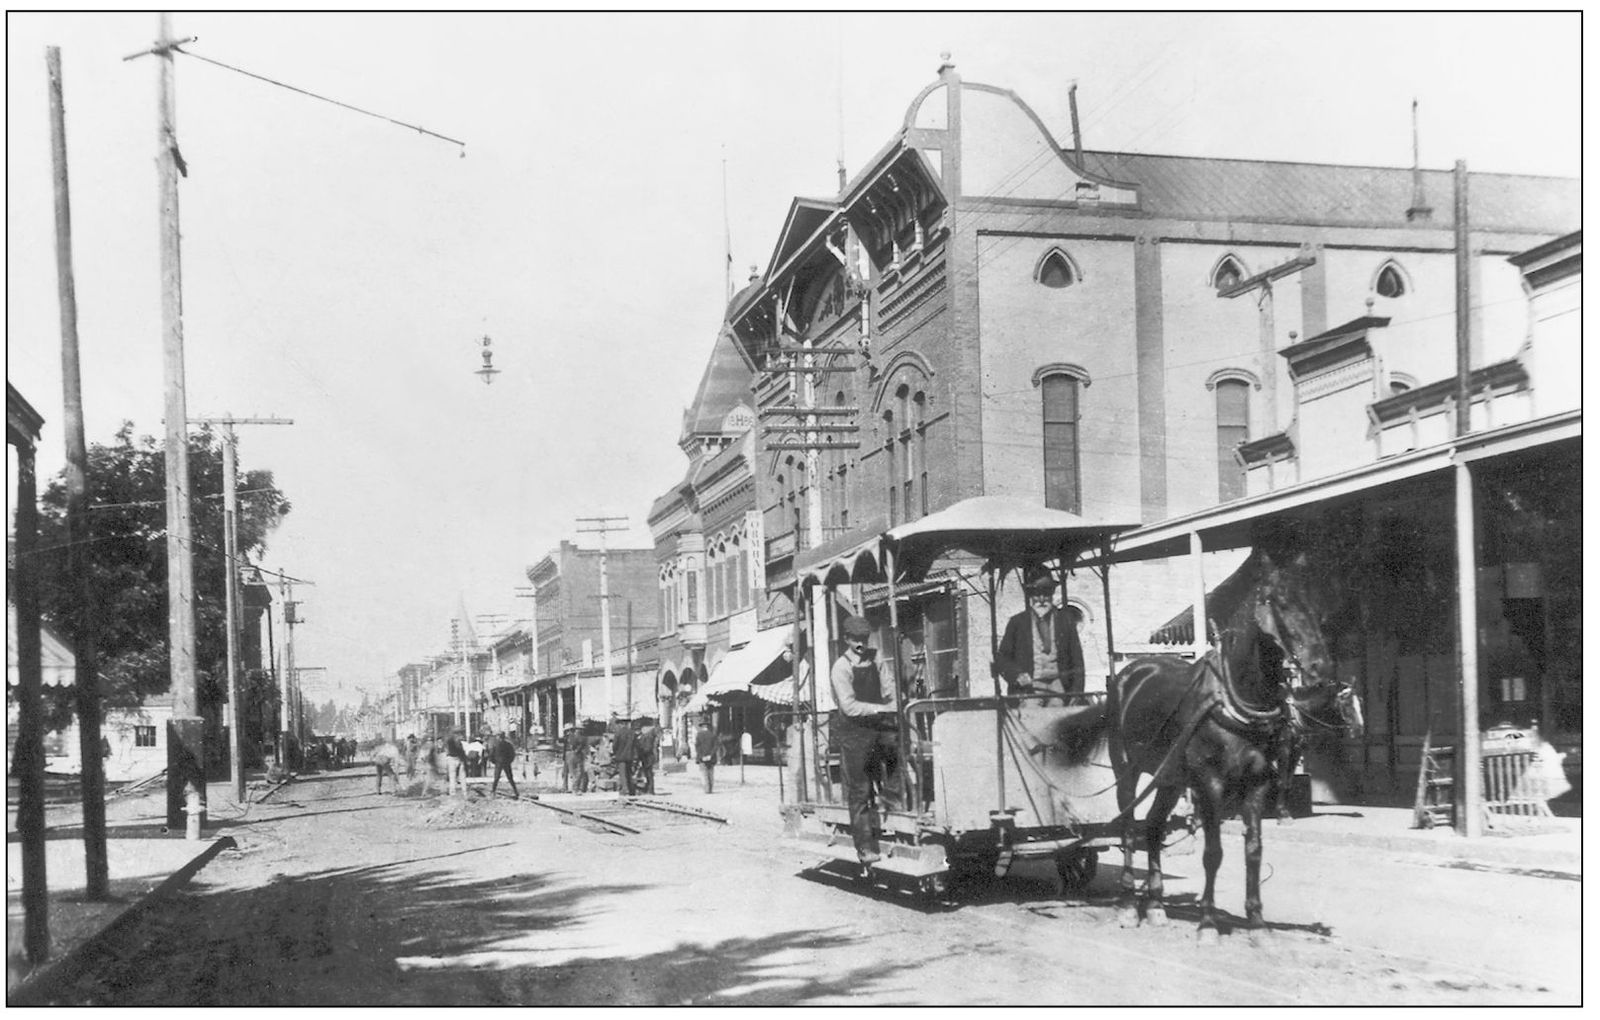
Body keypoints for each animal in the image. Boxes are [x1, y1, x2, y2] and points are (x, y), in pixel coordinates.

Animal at [1113, 549, 1363, 946]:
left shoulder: (1256, 783)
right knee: (1127, 825)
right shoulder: (1209, 784)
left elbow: (1254, 850)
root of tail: (1131, 671)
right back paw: (1126, 903)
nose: (1319, 664)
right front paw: (1208, 922)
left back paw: (1154, 905)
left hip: (1170, 778)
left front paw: (1257, 923)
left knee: (1152, 827)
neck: (1239, 699)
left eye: (1315, 606)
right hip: (1126, 767)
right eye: (1278, 602)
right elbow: (1213, 852)